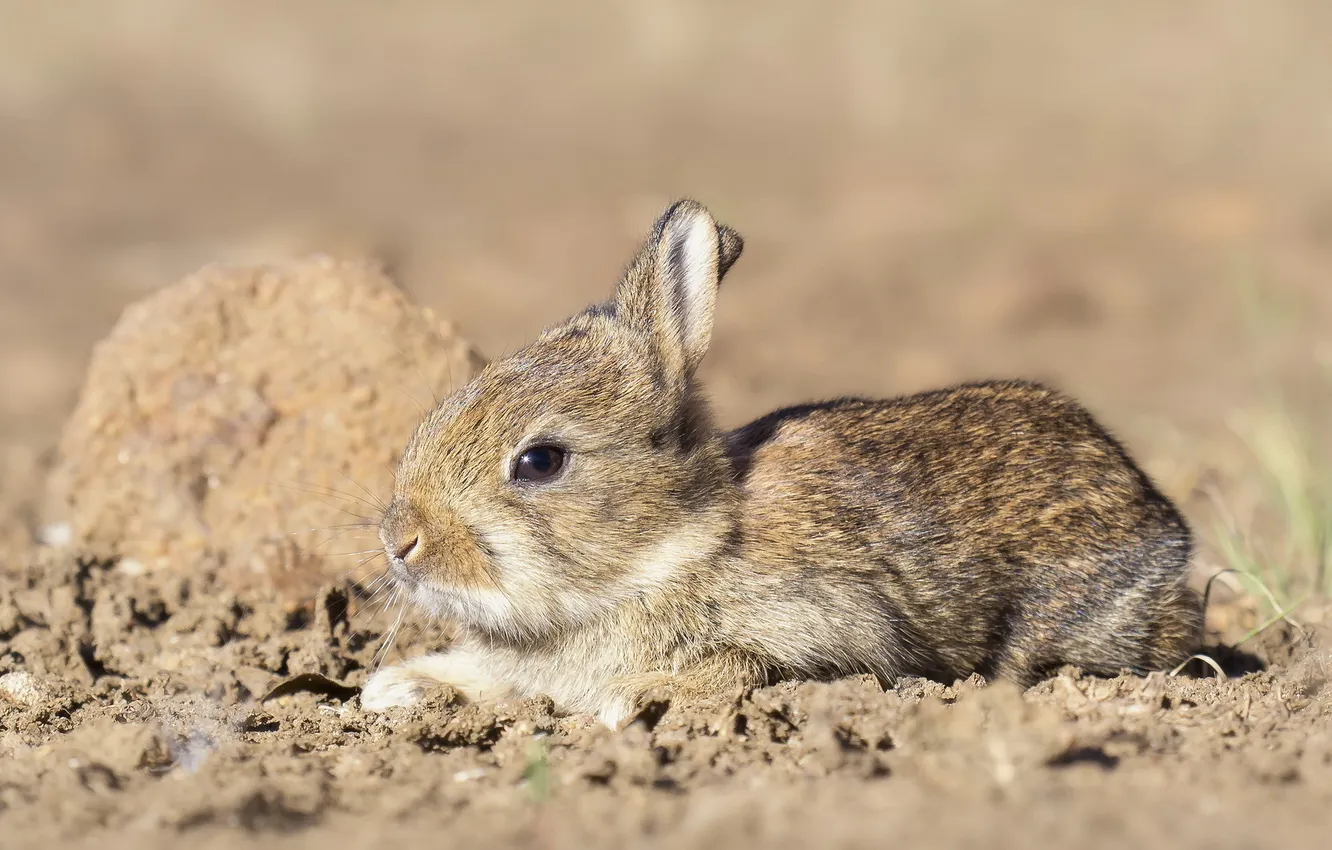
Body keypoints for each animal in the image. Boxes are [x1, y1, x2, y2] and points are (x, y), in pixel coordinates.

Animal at [359, 198, 1203, 728]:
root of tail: (1165, 526)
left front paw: (634, 700)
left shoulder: (827, 633)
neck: (674, 548)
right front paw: (392, 688)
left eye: (540, 461)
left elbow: (740, 666)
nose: (400, 541)